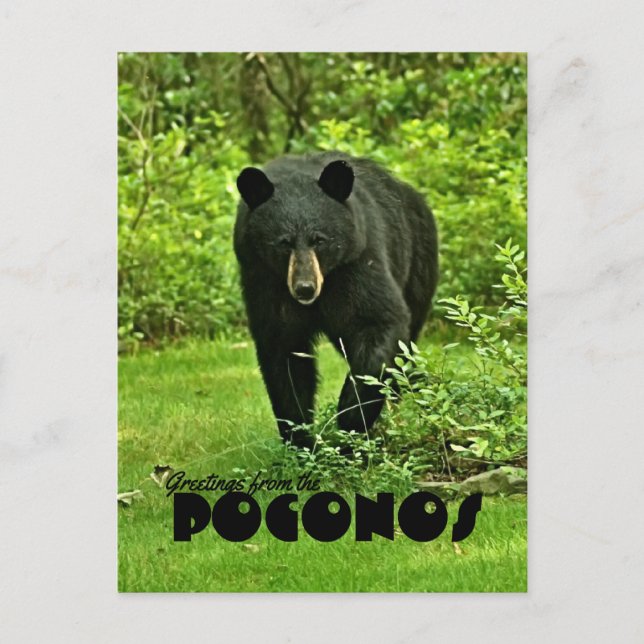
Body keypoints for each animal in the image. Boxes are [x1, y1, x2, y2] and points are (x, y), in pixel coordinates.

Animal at [234, 151, 438, 449]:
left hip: (417, 264)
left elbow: (378, 321)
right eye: (284, 243)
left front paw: (350, 417)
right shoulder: (265, 281)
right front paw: (301, 439)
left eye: (319, 240)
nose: (305, 288)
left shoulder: (357, 263)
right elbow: (283, 351)